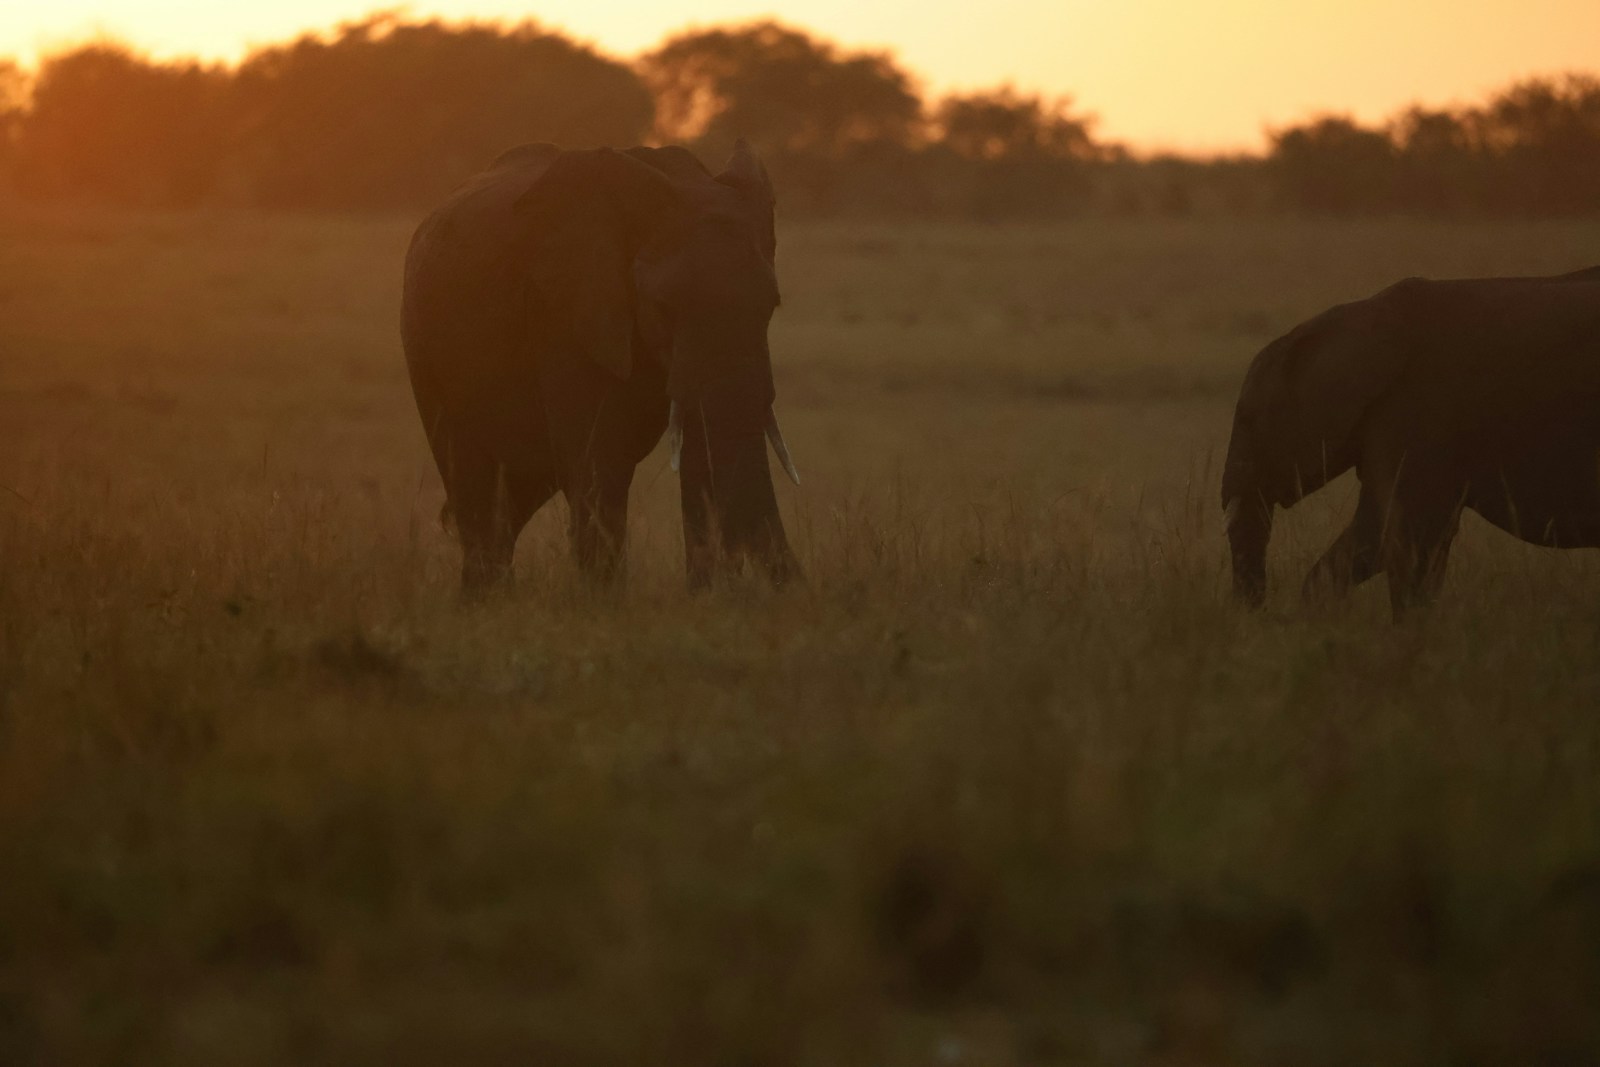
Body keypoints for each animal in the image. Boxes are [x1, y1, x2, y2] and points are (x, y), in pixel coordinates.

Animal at [401, 140, 802, 593]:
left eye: (771, 306)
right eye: (662, 307)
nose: (795, 591)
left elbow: (702, 456)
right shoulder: (564, 310)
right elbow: (598, 463)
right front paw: (606, 603)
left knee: (513, 499)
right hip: (424, 356)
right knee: (475, 487)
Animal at [1221, 266, 1600, 617]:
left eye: (1247, 419)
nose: (1257, 613)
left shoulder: (1418, 411)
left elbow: (1406, 534)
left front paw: (1412, 636)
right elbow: (1382, 533)